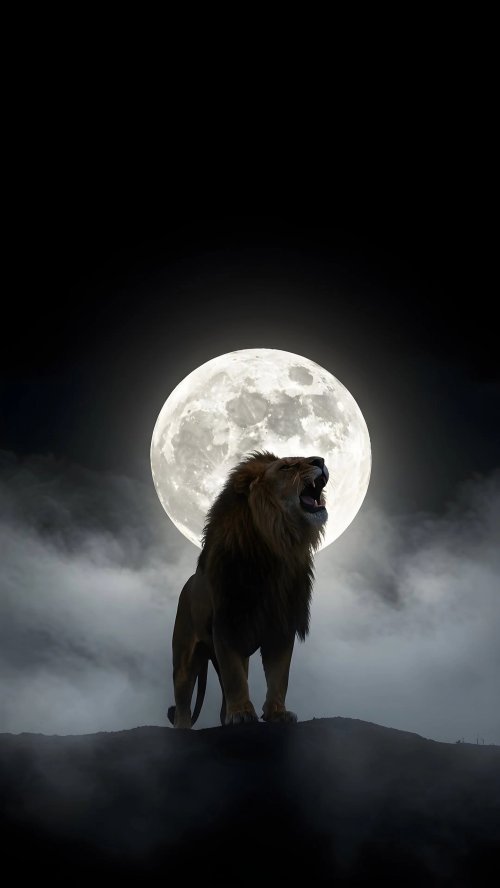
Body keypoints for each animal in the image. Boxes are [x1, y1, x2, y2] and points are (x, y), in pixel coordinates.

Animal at [167, 451, 329, 728]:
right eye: (286, 466)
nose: (320, 460)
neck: (276, 546)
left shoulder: (281, 627)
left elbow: (279, 677)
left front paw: (277, 714)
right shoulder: (227, 624)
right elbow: (234, 677)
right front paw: (242, 714)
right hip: (185, 658)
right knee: (183, 705)